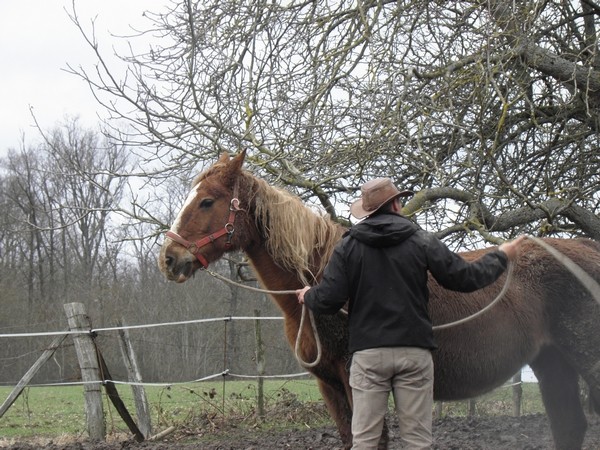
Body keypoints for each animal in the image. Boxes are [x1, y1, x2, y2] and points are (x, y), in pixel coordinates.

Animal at [158, 151, 600, 450]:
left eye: (207, 201)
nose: (169, 258)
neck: (319, 280)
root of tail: (585, 249)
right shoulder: (330, 387)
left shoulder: (357, 381)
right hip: (552, 362)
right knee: (569, 426)